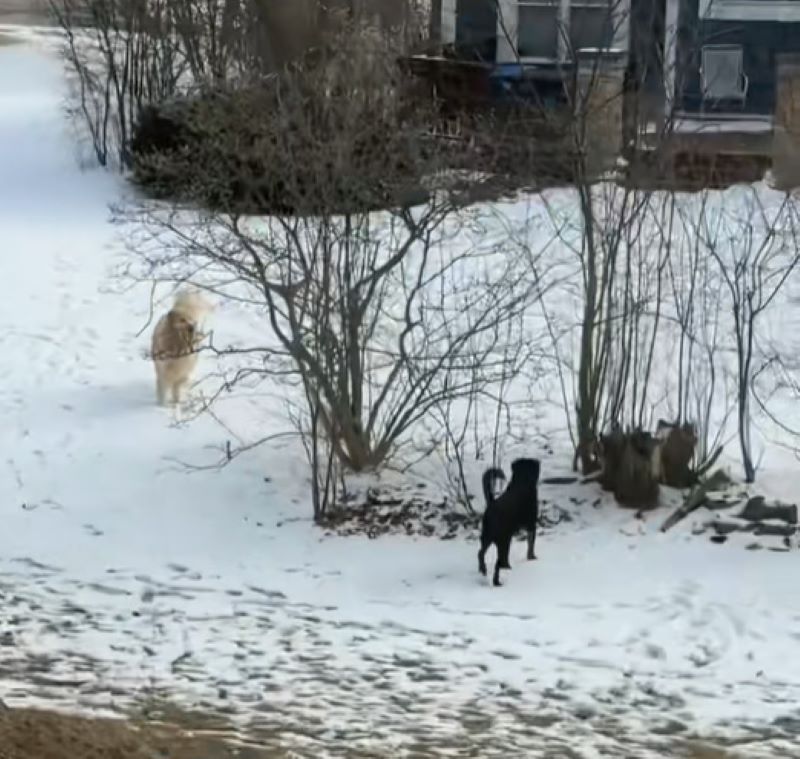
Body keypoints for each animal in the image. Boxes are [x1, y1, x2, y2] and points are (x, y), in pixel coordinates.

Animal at [478, 458, 540, 588]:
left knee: (480, 553)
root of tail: (491, 505)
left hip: (487, 537)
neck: (522, 482)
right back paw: (498, 580)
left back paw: (483, 569)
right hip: (504, 540)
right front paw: (532, 558)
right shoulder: (532, 525)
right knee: (499, 563)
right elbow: (531, 544)